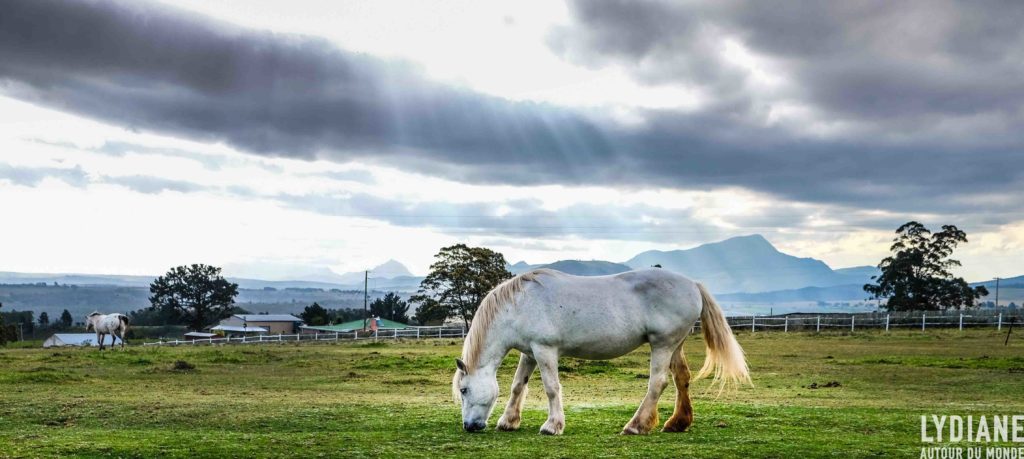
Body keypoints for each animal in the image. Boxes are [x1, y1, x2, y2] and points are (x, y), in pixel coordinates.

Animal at [452, 266, 749, 436]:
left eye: (464, 390)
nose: (469, 427)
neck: (519, 304)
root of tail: (693, 284)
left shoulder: (545, 350)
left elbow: (551, 388)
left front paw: (552, 426)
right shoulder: (529, 352)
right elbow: (517, 385)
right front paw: (509, 421)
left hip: (662, 344)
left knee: (658, 383)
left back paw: (637, 425)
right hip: (676, 344)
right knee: (681, 378)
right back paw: (677, 423)